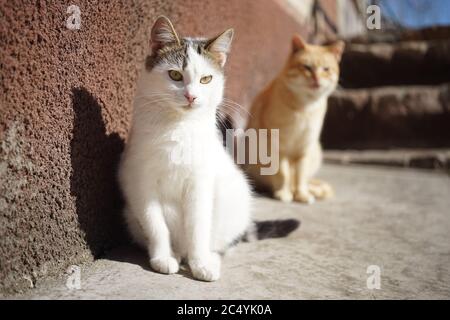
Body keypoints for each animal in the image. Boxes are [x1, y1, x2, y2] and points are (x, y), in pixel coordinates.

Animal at [118, 16, 253, 282]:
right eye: (174, 75)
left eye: (206, 79)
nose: (191, 97)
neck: (178, 126)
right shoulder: (141, 183)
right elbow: (155, 225)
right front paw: (162, 258)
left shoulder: (200, 183)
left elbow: (198, 227)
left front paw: (200, 263)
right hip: (129, 215)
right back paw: (176, 254)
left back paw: (209, 258)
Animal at [244, 35, 342, 204]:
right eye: (307, 67)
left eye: (326, 69)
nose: (316, 78)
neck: (305, 107)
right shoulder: (277, 147)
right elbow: (283, 174)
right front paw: (284, 193)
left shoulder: (304, 148)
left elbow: (300, 176)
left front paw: (302, 194)